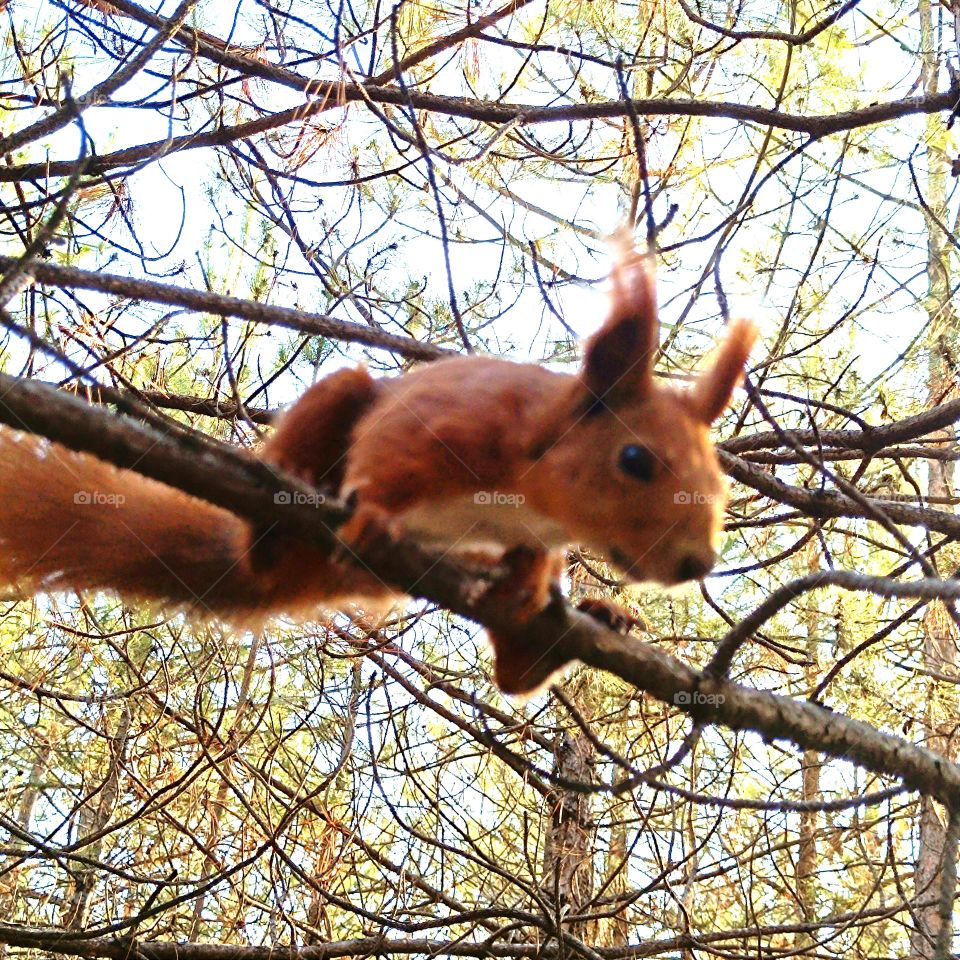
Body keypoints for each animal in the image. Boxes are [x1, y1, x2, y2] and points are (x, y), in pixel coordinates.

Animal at [0, 236, 755, 694]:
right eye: (634, 459)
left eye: (721, 486)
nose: (697, 562)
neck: (532, 492)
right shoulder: (449, 421)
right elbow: (389, 457)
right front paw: (374, 514)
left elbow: (531, 574)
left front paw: (535, 580)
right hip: (333, 411)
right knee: (272, 533)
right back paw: (289, 515)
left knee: (513, 674)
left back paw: (587, 617)